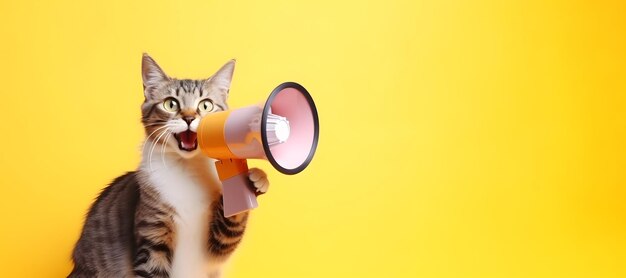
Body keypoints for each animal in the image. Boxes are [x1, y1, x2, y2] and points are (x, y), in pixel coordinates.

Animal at [68, 54, 268, 278]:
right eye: (170, 104)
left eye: (206, 105)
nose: (189, 118)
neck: (187, 170)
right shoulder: (153, 233)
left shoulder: (217, 245)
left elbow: (231, 223)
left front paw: (256, 178)